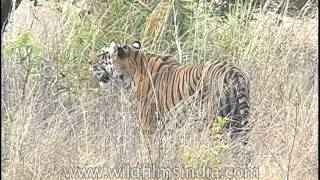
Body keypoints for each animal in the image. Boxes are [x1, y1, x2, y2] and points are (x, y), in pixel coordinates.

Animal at [89, 40, 251, 143]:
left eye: (103, 53)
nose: (89, 62)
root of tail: (234, 72)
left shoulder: (148, 123)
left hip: (214, 121)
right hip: (237, 121)